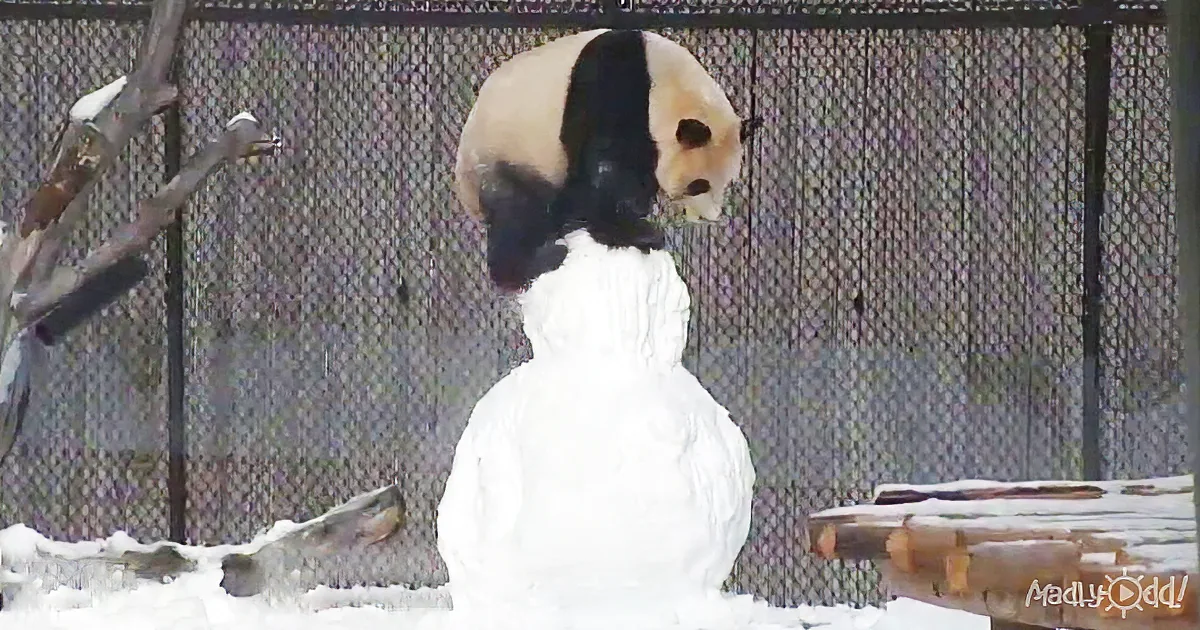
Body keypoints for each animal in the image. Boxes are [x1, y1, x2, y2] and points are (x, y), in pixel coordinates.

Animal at [454, 28, 763, 293]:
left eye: (725, 183)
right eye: (698, 185)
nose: (709, 217)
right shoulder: (609, 84)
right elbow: (604, 166)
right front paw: (634, 232)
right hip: (506, 155)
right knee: (517, 212)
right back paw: (533, 263)